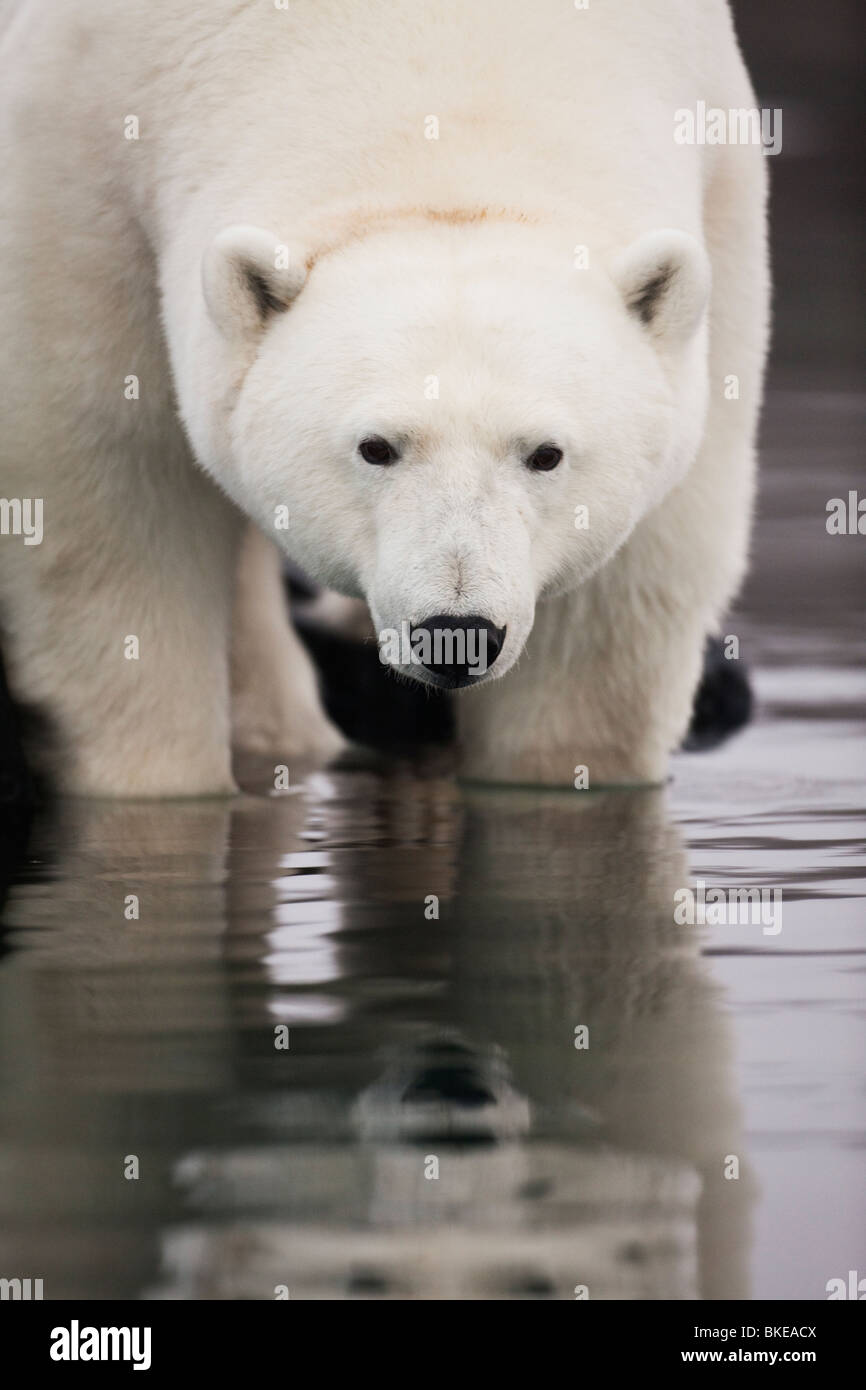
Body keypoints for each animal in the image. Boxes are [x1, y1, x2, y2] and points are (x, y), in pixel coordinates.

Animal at [0, 2, 767, 795]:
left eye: (546, 454)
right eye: (376, 448)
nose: (457, 635)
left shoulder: (719, 183)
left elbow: (610, 615)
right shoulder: (78, 159)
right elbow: (115, 497)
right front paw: (160, 778)